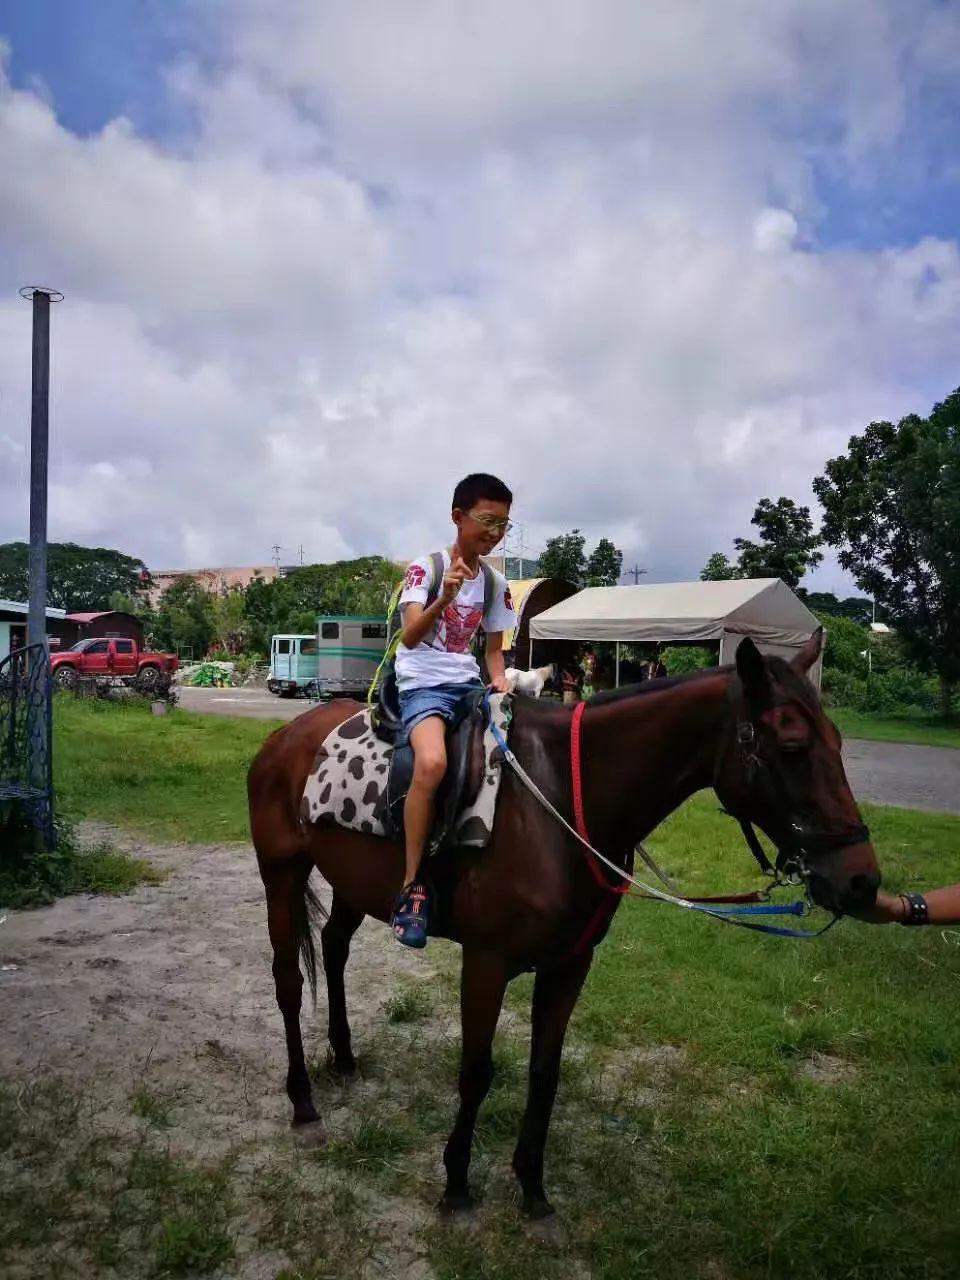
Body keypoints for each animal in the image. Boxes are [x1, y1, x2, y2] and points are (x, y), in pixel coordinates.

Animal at [245, 634, 880, 1213]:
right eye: (793, 745)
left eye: (838, 741)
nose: (861, 881)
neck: (563, 800)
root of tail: (284, 738)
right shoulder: (486, 962)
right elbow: (476, 1071)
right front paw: (457, 1185)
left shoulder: (571, 964)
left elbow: (544, 1073)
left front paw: (532, 1188)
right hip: (282, 871)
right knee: (289, 981)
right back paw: (303, 1101)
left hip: (353, 883)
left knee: (333, 949)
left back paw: (345, 1058)